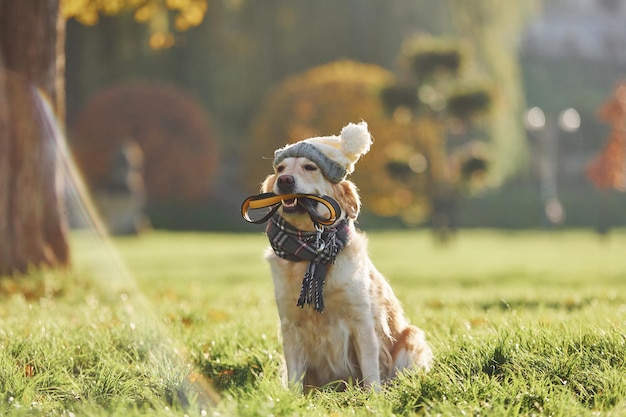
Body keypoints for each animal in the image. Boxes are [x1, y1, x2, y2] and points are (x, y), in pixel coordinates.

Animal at [256, 120, 432, 390]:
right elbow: (295, 379)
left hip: (411, 338)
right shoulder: (290, 325)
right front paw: (292, 398)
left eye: (310, 167)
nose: (284, 180)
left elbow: (371, 373)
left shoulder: (362, 322)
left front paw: (374, 398)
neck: (312, 251)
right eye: (281, 169)